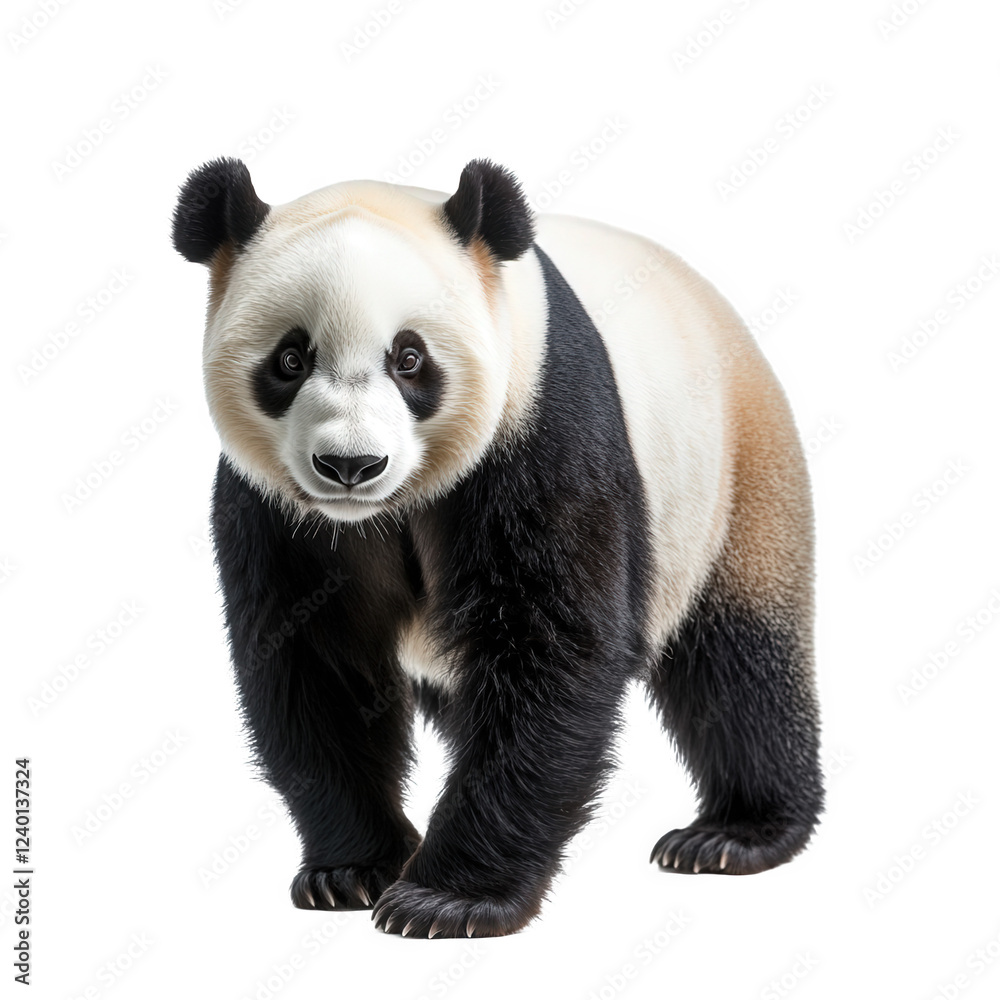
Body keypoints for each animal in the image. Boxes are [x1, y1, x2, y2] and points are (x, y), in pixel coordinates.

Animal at [172, 157, 823, 938]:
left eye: (410, 358)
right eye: (291, 358)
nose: (351, 465)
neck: (383, 510)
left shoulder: (541, 428)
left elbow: (551, 649)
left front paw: (446, 899)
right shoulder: (274, 509)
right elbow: (314, 661)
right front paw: (352, 870)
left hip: (735, 481)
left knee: (738, 663)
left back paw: (735, 834)